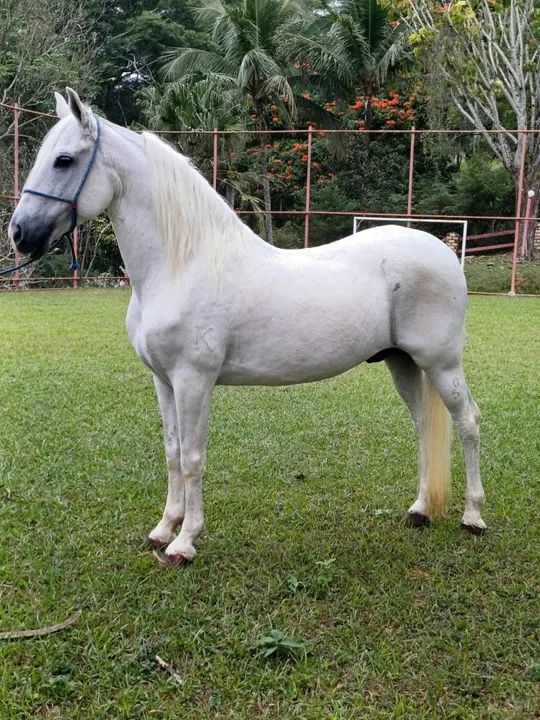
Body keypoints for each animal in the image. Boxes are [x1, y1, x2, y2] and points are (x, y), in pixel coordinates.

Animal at [8, 88, 486, 564]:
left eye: (64, 160)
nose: (19, 233)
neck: (181, 264)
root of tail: (441, 251)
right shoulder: (163, 380)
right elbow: (171, 452)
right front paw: (163, 529)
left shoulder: (193, 380)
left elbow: (193, 458)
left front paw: (185, 542)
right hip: (401, 362)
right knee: (424, 426)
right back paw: (420, 510)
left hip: (441, 363)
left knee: (466, 421)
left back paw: (472, 517)